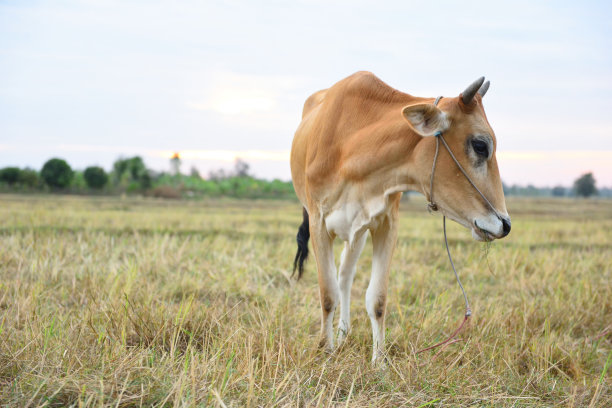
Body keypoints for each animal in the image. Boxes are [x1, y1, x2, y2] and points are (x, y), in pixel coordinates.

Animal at [292, 71, 512, 362]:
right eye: (480, 145)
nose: (505, 224)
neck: (352, 146)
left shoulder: (385, 224)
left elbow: (377, 299)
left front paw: (379, 362)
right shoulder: (318, 222)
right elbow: (327, 295)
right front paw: (325, 352)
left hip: (357, 234)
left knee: (345, 276)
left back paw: (343, 335)